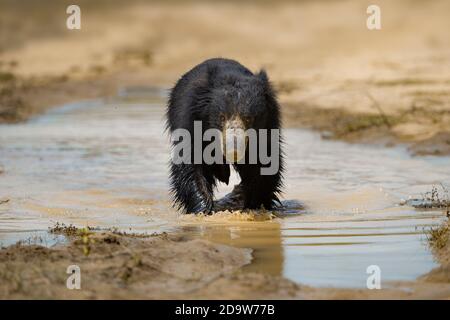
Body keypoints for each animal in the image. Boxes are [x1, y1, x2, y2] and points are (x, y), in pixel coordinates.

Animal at [167, 58, 284, 212]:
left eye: (248, 118)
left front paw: (251, 204)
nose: (234, 150)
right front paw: (202, 208)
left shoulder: (268, 125)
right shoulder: (189, 117)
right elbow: (189, 162)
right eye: (222, 117)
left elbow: (264, 162)